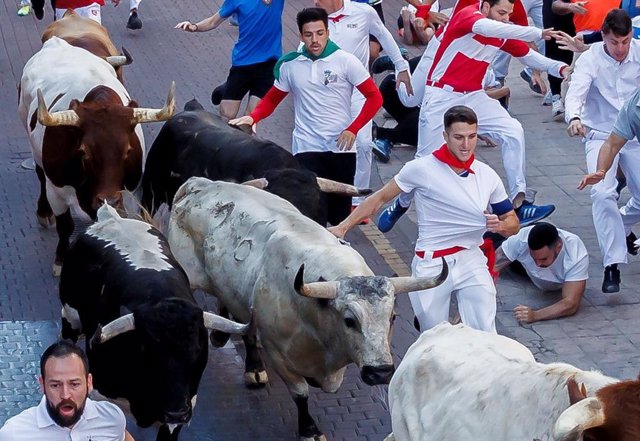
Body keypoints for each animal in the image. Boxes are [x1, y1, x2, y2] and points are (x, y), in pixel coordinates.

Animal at [17, 37, 175, 276]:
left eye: (128, 151)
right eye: (84, 152)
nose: (108, 200)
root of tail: (56, 42)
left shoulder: (130, 194)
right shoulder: (57, 192)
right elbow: (65, 226)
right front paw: (61, 261)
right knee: (39, 174)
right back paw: (43, 213)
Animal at [165, 177, 448, 438]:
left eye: (392, 318)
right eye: (350, 320)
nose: (380, 372)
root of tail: (200, 183)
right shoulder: (278, 354)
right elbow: (300, 393)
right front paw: (309, 429)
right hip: (190, 274)